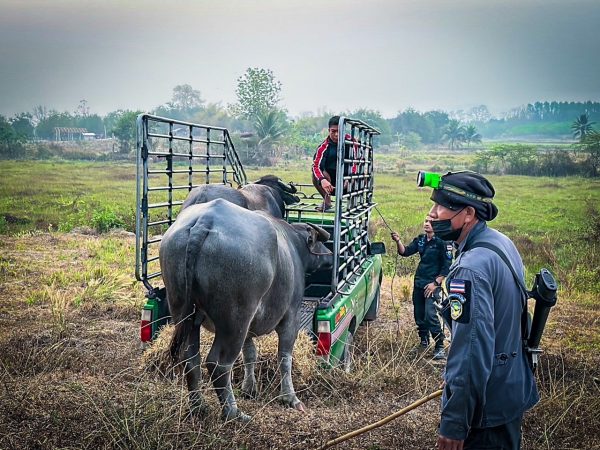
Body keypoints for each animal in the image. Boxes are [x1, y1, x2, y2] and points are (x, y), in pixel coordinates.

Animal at [159, 199, 332, 420]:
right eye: (318, 241)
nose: (329, 255)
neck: (292, 247)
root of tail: (204, 222)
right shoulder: (290, 317)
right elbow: (284, 357)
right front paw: (290, 398)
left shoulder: (249, 328)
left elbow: (250, 353)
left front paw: (249, 388)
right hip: (235, 320)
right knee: (218, 364)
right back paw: (233, 413)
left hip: (185, 313)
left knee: (190, 359)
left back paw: (198, 407)